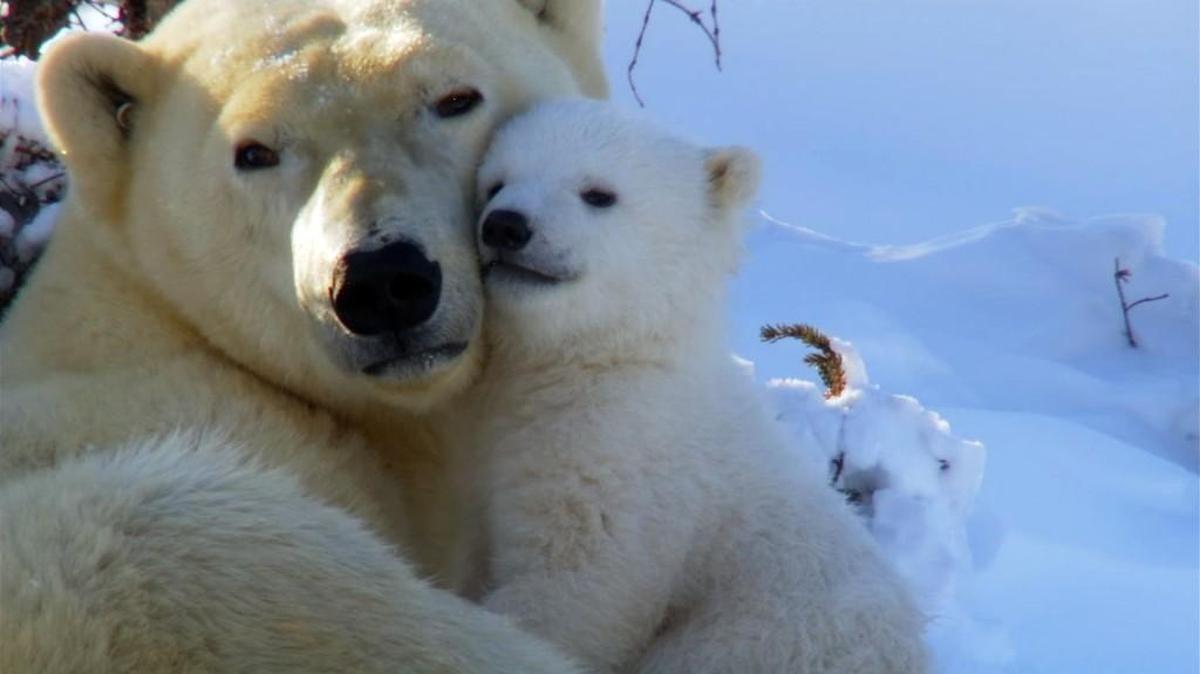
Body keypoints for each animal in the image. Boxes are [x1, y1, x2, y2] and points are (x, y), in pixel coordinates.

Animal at [440, 99, 929, 673]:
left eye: (599, 194)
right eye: (495, 183)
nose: (505, 226)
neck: (613, 355)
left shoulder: (626, 463)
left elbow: (576, 585)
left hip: (764, 639)